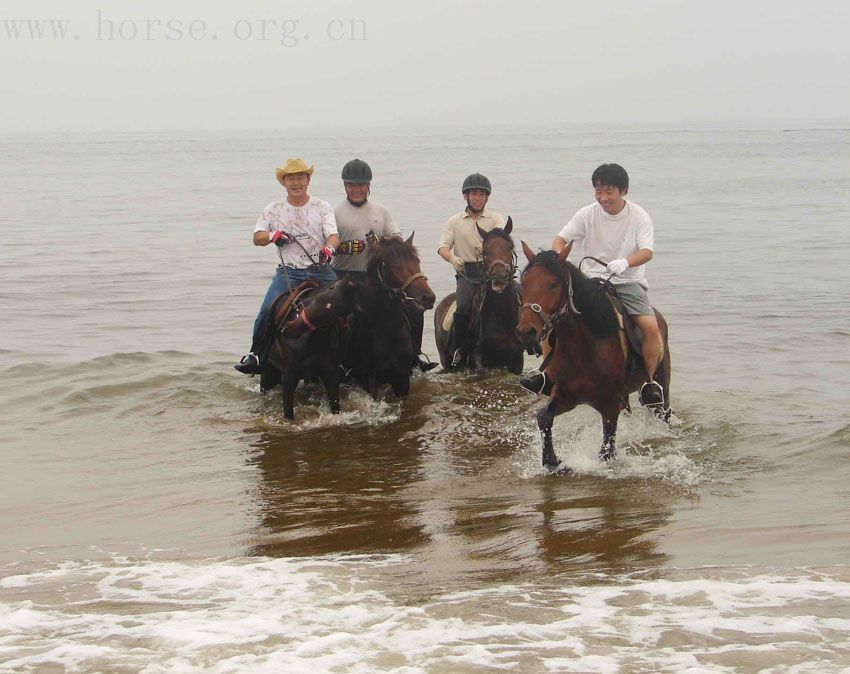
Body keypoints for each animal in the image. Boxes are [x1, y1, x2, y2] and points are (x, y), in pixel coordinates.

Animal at [264, 276, 358, 414]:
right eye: (318, 299)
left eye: (337, 315)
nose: (289, 328)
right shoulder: (289, 376)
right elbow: (288, 412)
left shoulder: (331, 374)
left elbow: (335, 406)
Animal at [342, 234, 434, 396]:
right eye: (396, 267)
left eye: (417, 262)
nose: (428, 298)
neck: (387, 328)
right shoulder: (369, 379)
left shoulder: (402, 379)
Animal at [512, 244, 672, 470]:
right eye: (524, 283)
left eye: (554, 284)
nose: (526, 332)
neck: (583, 350)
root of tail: (658, 317)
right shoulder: (566, 396)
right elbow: (544, 417)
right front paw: (552, 461)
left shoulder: (610, 405)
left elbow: (607, 451)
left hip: (661, 386)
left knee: (662, 411)